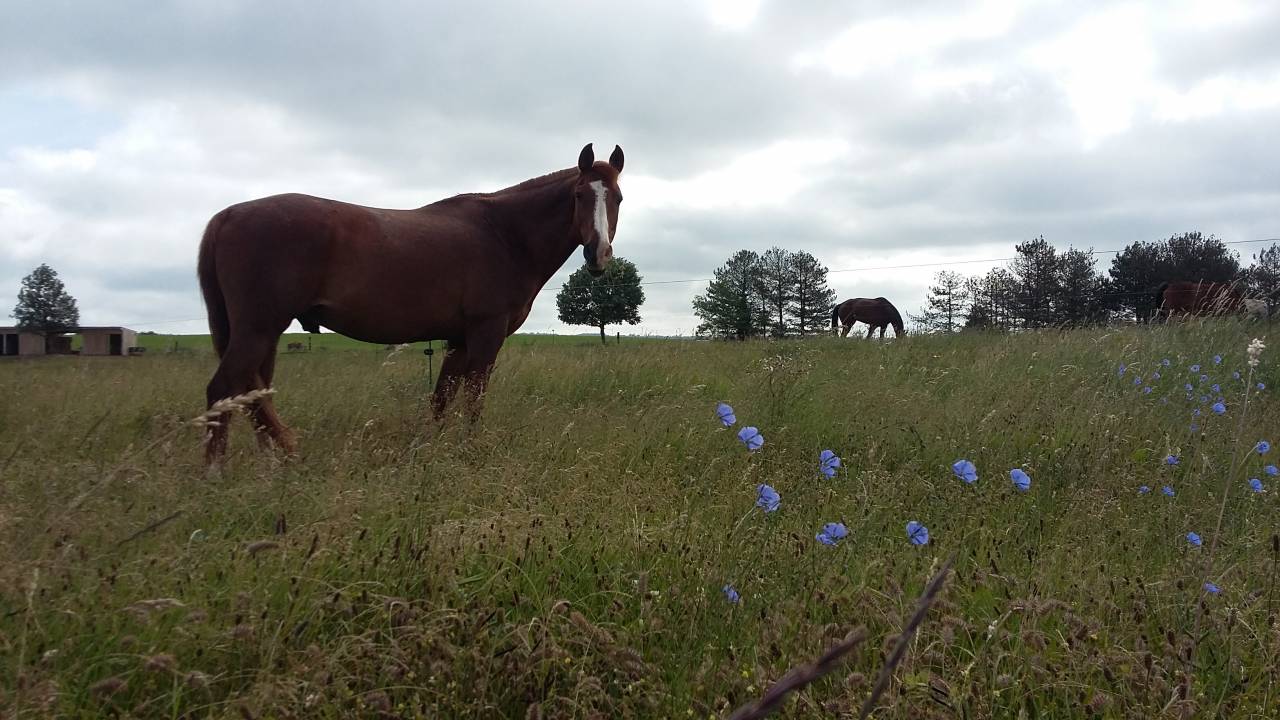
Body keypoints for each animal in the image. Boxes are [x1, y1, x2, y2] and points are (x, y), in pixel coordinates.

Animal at [198, 143, 625, 464]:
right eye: (579, 195)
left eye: (618, 198)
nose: (598, 254)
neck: (504, 234)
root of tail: (228, 215)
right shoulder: (486, 333)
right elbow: (473, 398)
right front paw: (470, 451)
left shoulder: (459, 340)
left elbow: (442, 399)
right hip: (258, 328)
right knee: (224, 390)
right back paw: (217, 473)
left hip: (264, 333)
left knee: (254, 393)